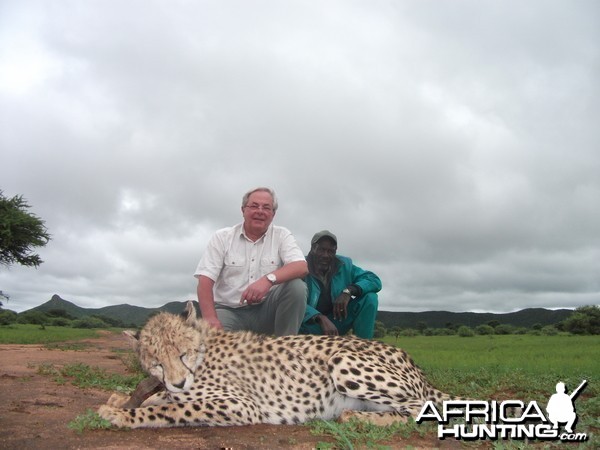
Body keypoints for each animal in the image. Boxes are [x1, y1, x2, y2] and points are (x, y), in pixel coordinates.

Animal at [98, 300, 454, 428]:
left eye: (182, 354)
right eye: (156, 363)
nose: (178, 381)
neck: (202, 354)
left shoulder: (242, 405)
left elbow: (171, 408)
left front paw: (120, 413)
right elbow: (161, 397)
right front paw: (120, 398)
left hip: (342, 360)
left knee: (421, 408)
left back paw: (353, 417)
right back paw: (356, 415)